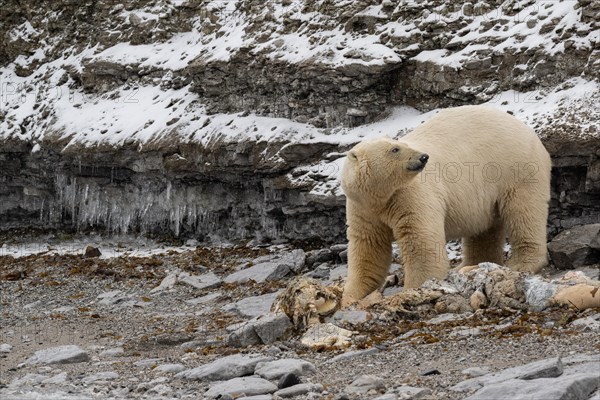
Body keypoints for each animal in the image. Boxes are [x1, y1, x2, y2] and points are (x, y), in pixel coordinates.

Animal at [342, 104, 552, 302]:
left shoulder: (409, 195)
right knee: (485, 229)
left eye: (400, 143)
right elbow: (369, 247)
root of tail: (528, 130)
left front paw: (415, 287)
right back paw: (469, 265)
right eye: (395, 149)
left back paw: (522, 262)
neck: (380, 197)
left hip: (515, 168)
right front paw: (352, 295)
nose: (423, 157)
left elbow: (420, 239)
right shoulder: (362, 208)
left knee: (523, 212)